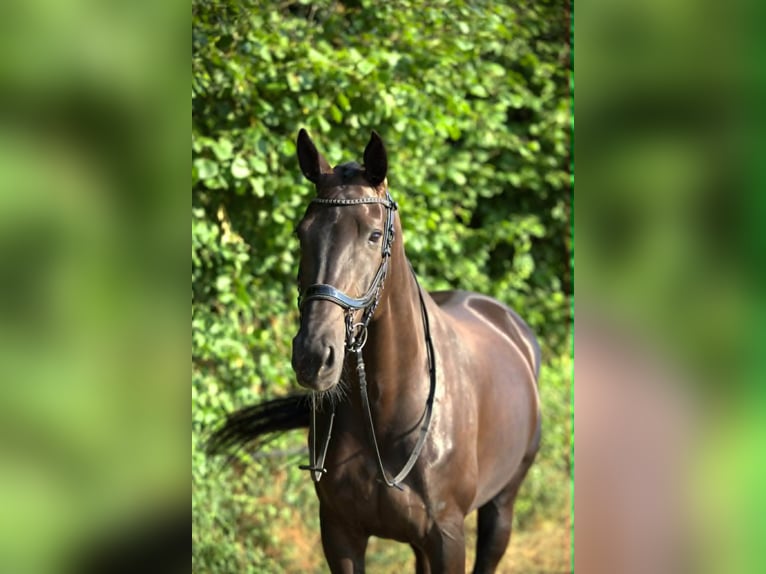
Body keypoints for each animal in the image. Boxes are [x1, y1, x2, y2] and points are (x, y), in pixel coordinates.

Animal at [209, 129, 542, 573]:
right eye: (302, 232)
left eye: (372, 235)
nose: (313, 356)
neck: (386, 411)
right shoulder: (340, 533)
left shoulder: (448, 538)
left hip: (501, 506)